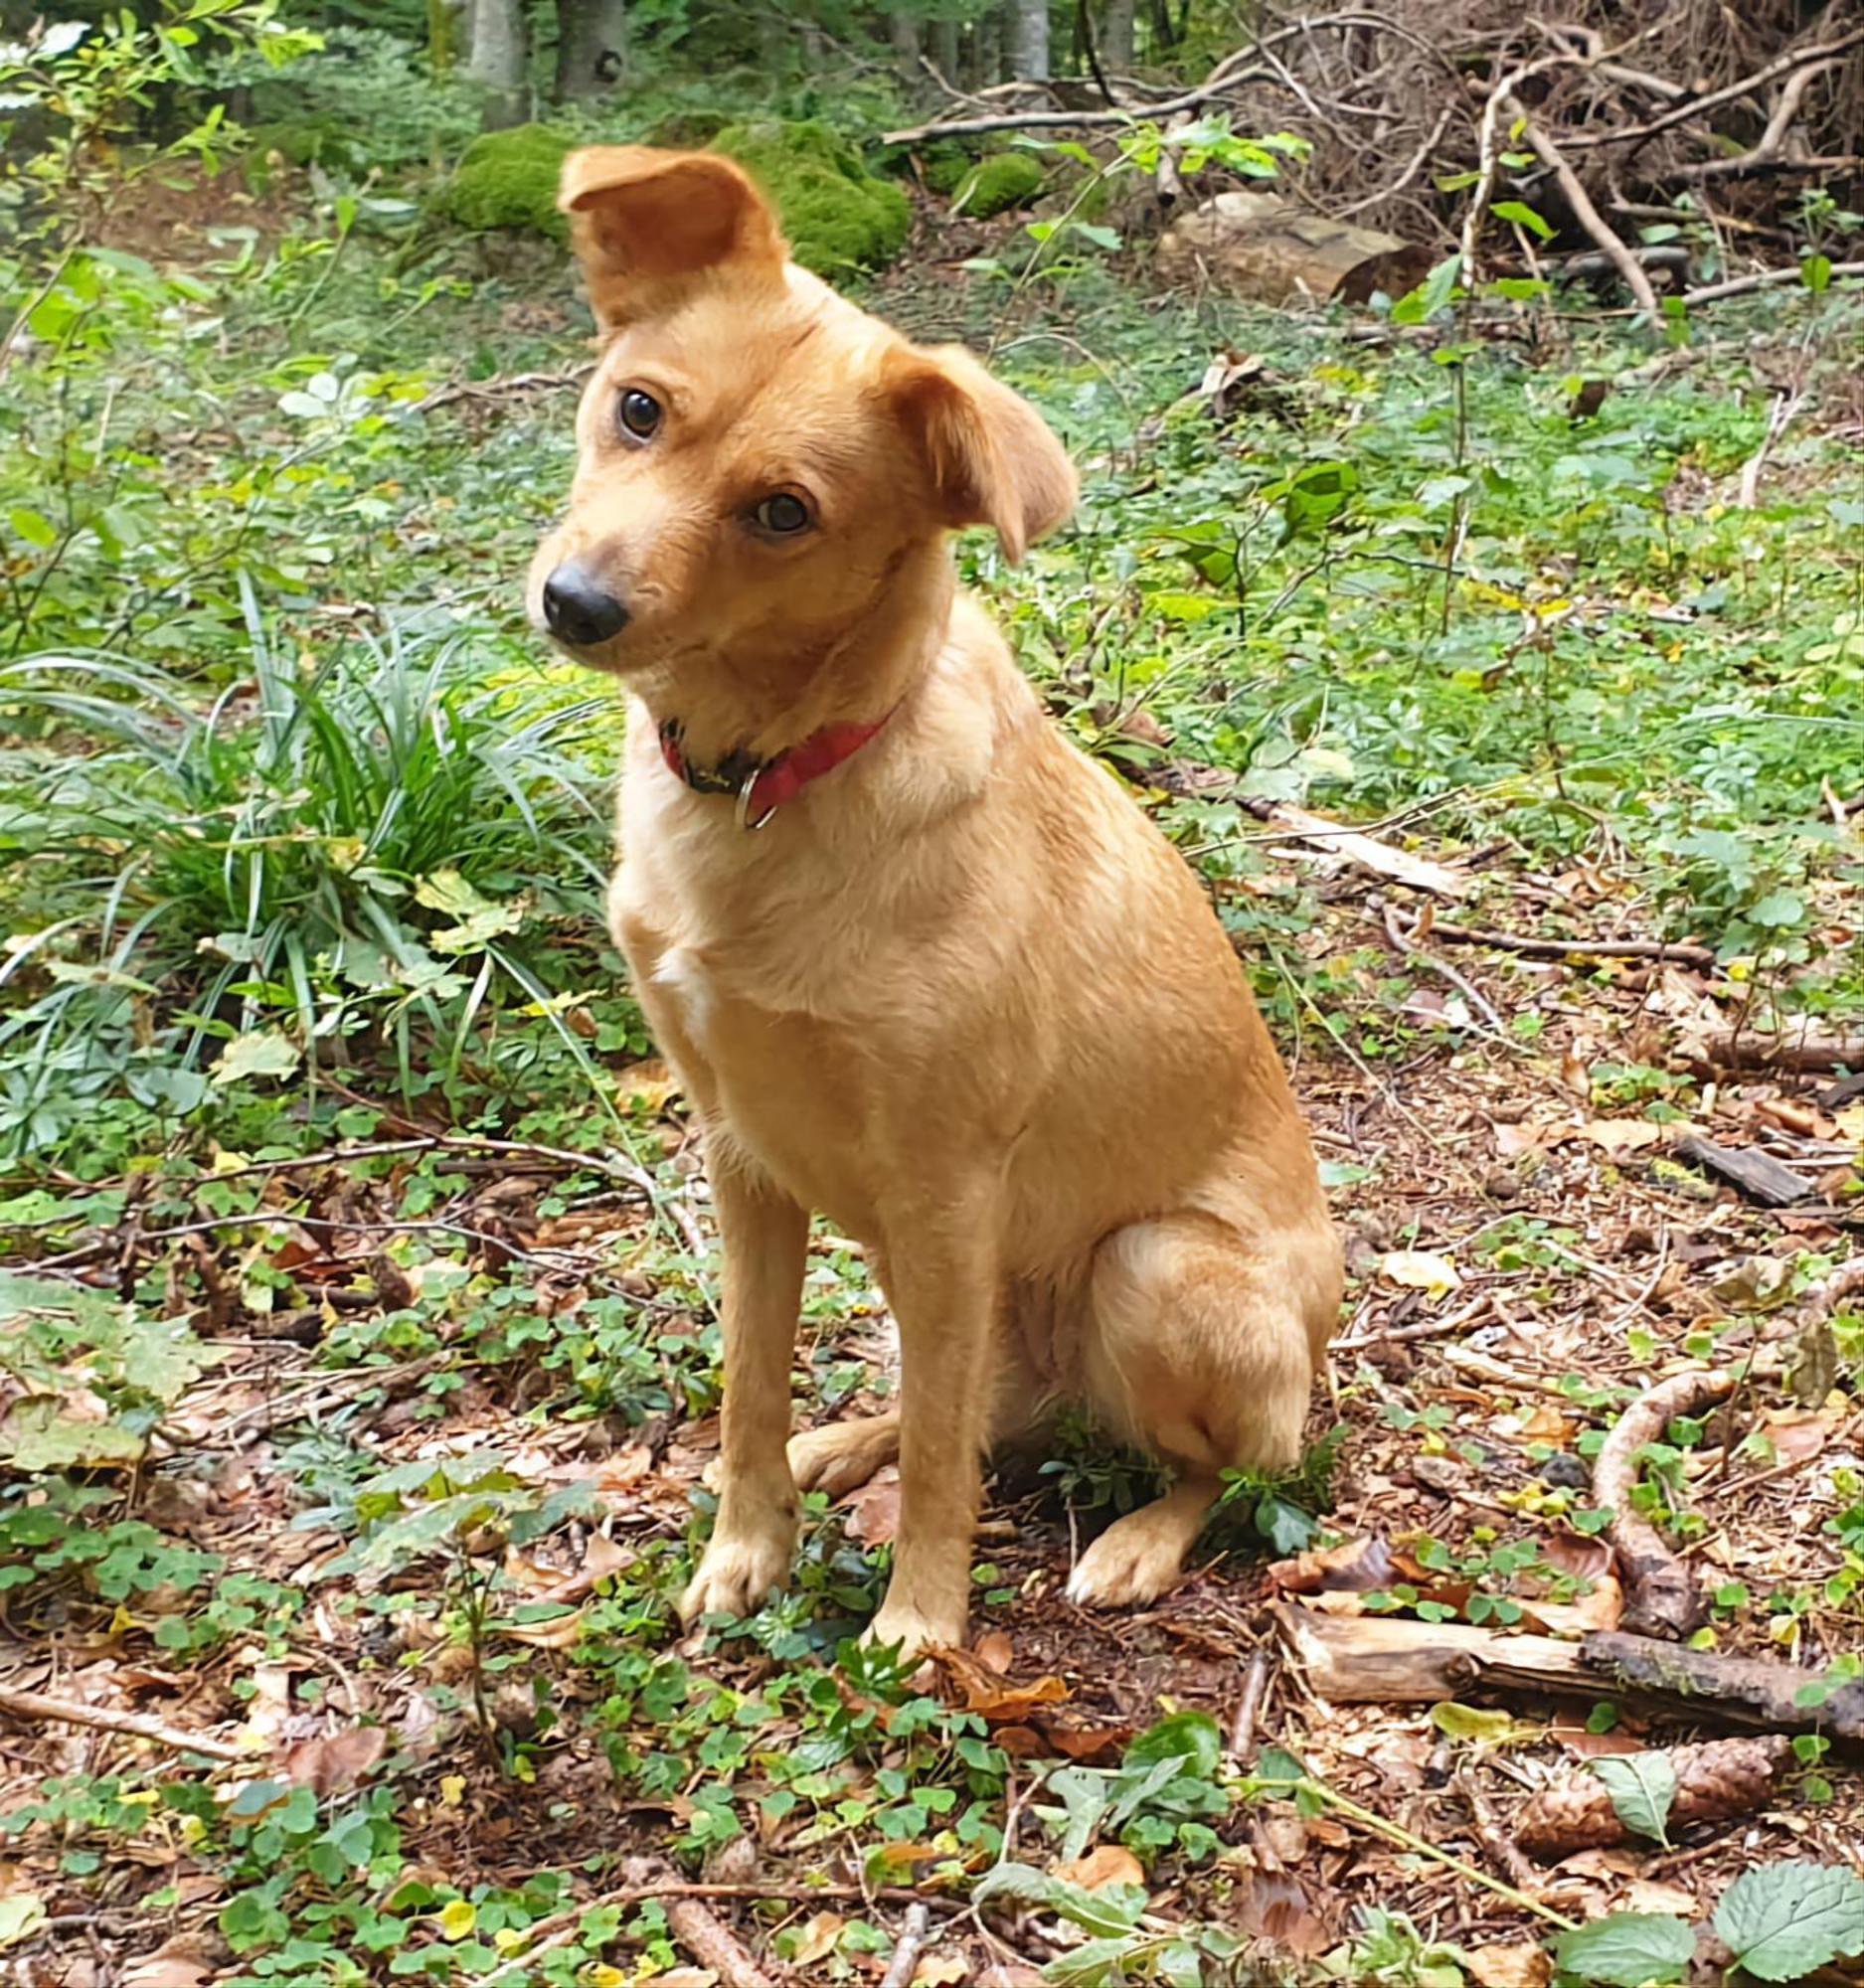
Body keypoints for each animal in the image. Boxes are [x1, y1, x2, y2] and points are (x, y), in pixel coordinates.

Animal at [528, 147, 1335, 1654]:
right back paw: (847, 1443)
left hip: (1147, 1270)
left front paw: (921, 1620)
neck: (769, 781)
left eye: (784, 512)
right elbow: (751, 1379)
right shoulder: (741, 1153)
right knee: (977, 1410)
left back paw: (1138, 1538)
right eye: (638, 409)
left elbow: (948, 1464)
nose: (575, 603)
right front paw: (749, 1547)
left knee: (1209, 1464)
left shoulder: (951, 1187)